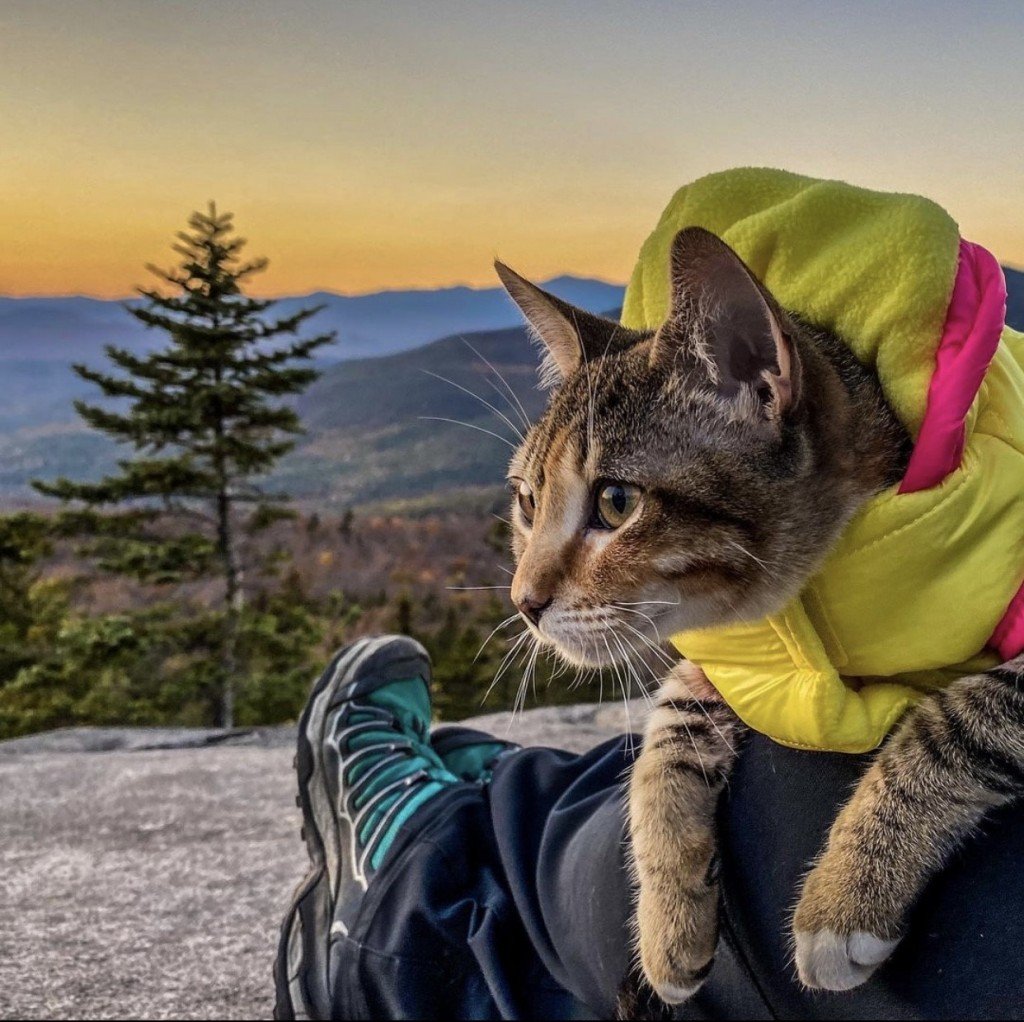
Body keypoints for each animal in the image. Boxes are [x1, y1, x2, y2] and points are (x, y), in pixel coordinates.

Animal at [491, 226, 1024, 1007]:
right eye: (527, 502)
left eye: (617, 503)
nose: (522, 602)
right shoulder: (744, 660)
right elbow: (667, 732)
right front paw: (668, 914)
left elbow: (961, 715)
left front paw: (845, 895)